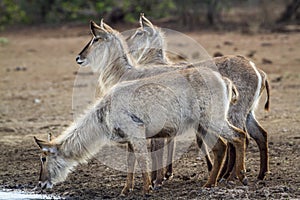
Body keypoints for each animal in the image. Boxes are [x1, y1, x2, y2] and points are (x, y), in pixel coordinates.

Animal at [126, 13, 270, 186]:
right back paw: (259, 174)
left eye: (139, 32)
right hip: (245, 112)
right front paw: (165, 175)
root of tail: (257, 69)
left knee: (240, 138)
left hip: (232, 114)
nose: (126, 44)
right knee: (259, 135)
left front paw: (158, 178)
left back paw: (230, 176)